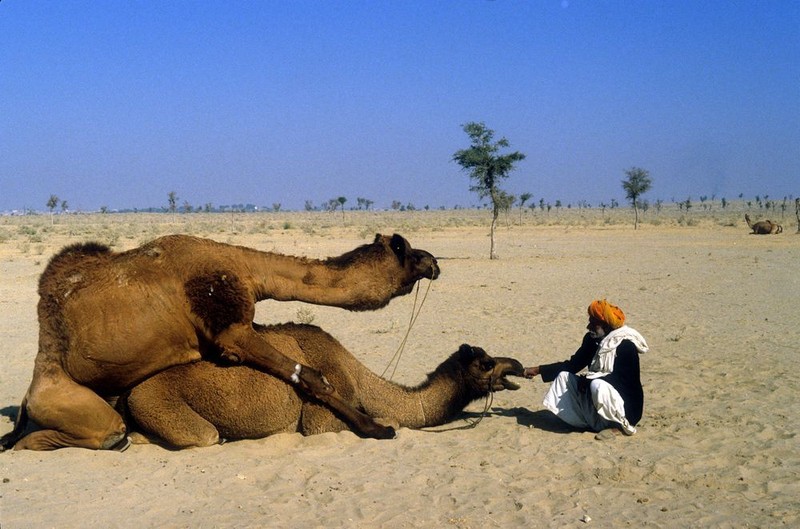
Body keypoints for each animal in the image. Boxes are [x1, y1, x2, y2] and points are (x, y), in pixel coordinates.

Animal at [0, 232, 438, 450]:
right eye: (405, 249)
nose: (434, 262)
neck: (248, 272)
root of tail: (32, 387)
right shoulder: (232, 329)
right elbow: (313, 377)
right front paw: (377, 429)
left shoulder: (229, 337)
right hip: (66, 399)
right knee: (101, 432)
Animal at [119, 322, 524, 446]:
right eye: (487, 363)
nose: (518, 365)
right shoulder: (320, 419)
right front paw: (384, 428)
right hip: (152, 398)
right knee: (206, 435)